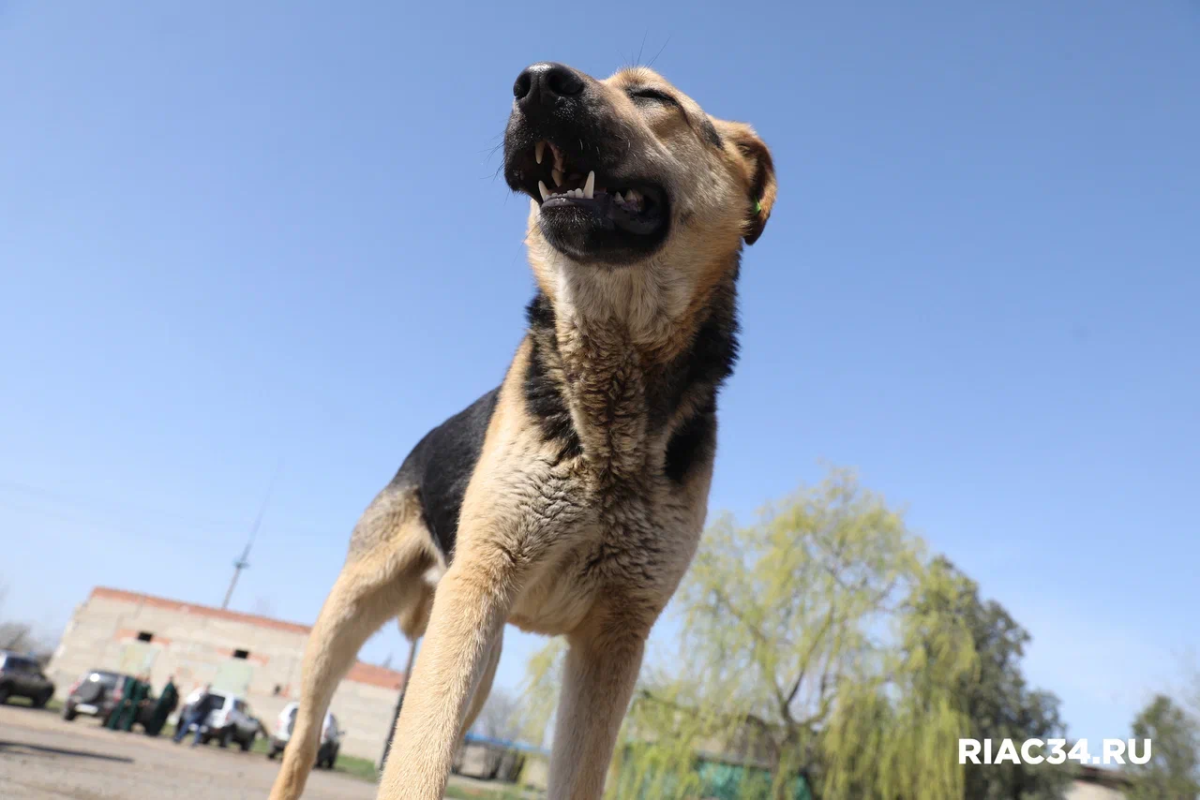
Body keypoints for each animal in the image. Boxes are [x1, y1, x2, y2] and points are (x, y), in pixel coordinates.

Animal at [268, 62, 777, 800]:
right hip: (352, 620)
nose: (536, 81)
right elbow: (414, 768)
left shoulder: (616, 636)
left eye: (653, 97)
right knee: (305, 740)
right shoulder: (481, 583)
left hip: (475, 656)